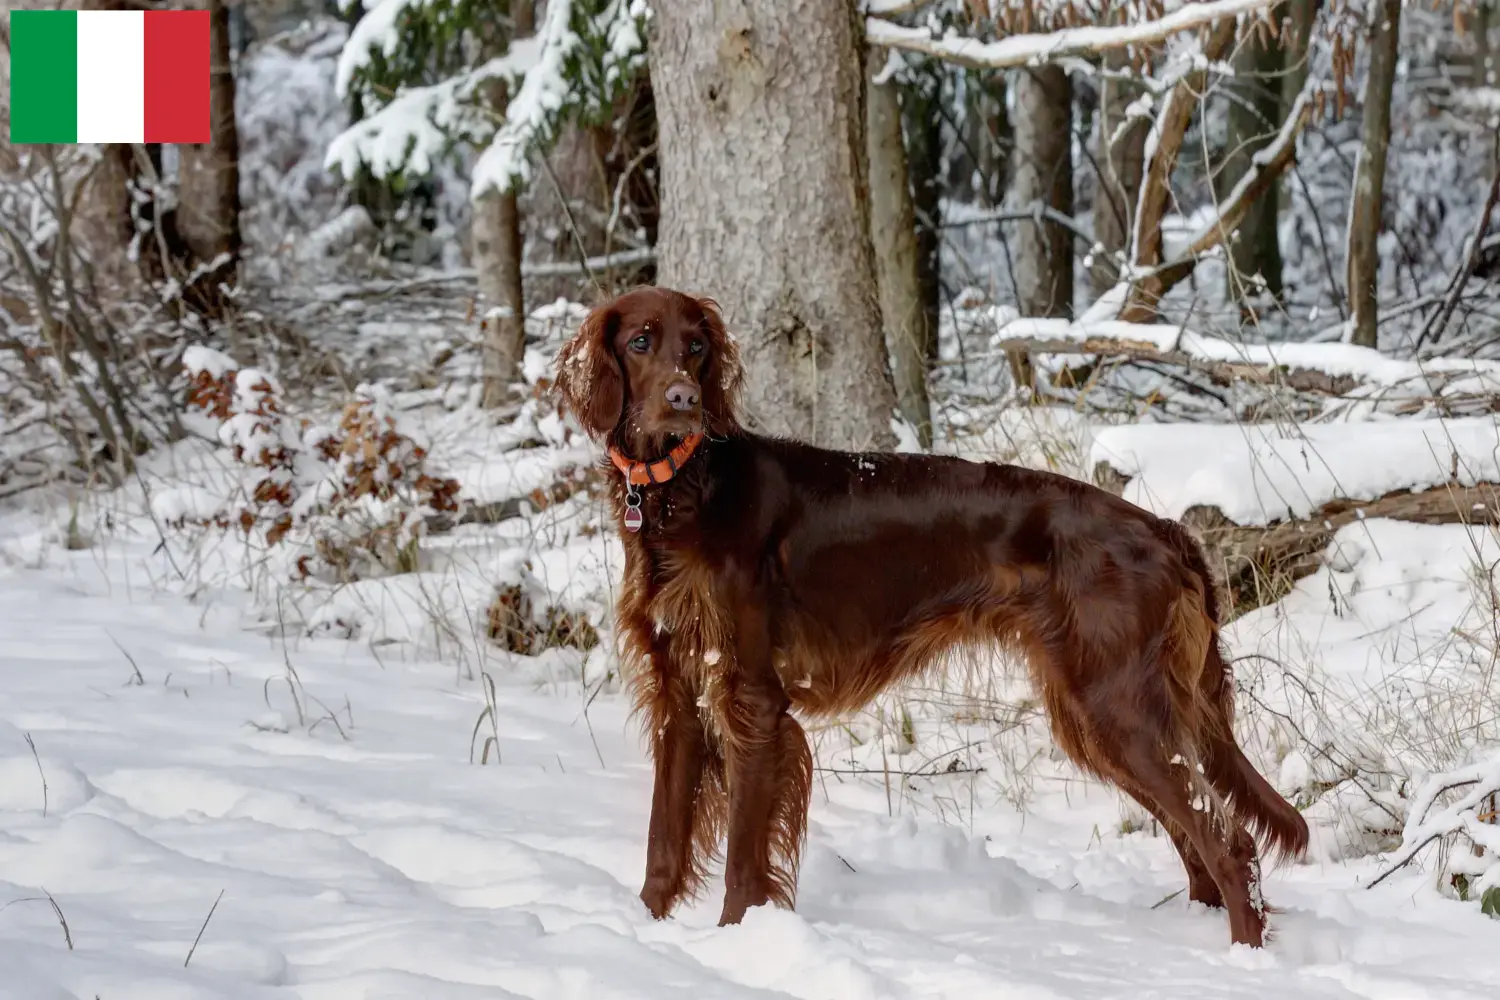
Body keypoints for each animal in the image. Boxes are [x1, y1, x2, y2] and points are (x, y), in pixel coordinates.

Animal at [558, 287, 1308, 947]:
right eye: (642, 341)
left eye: (697, 346)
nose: (684, 402)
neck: (684, 492)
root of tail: (1165, 530)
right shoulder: (680, 696)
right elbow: (663, 842)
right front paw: (643, 929)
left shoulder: (752, 700)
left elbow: (744, 858)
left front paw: (738, 943)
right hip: (1102, 713)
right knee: (1195, 841)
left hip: (1117, 707)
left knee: (1228, 841)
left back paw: (1243, 957)